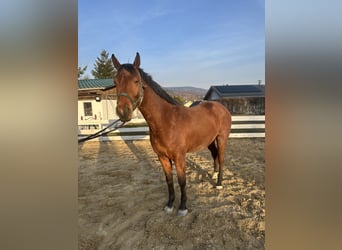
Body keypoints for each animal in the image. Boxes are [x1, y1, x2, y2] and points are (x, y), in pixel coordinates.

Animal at [111, 52, 231, 215]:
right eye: (115, 82)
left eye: (136, 81)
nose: (123, 112)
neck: (166, 120)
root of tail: (220, 106)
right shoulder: (162, 157)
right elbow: (169, 181)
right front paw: (169, 205)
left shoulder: (179, 158)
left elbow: (182, 181)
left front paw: (182, 207)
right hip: (209, 140)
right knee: (215, 155)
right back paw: (213, 175)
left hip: (222, 138)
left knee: (222, 157)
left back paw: (218, 183)